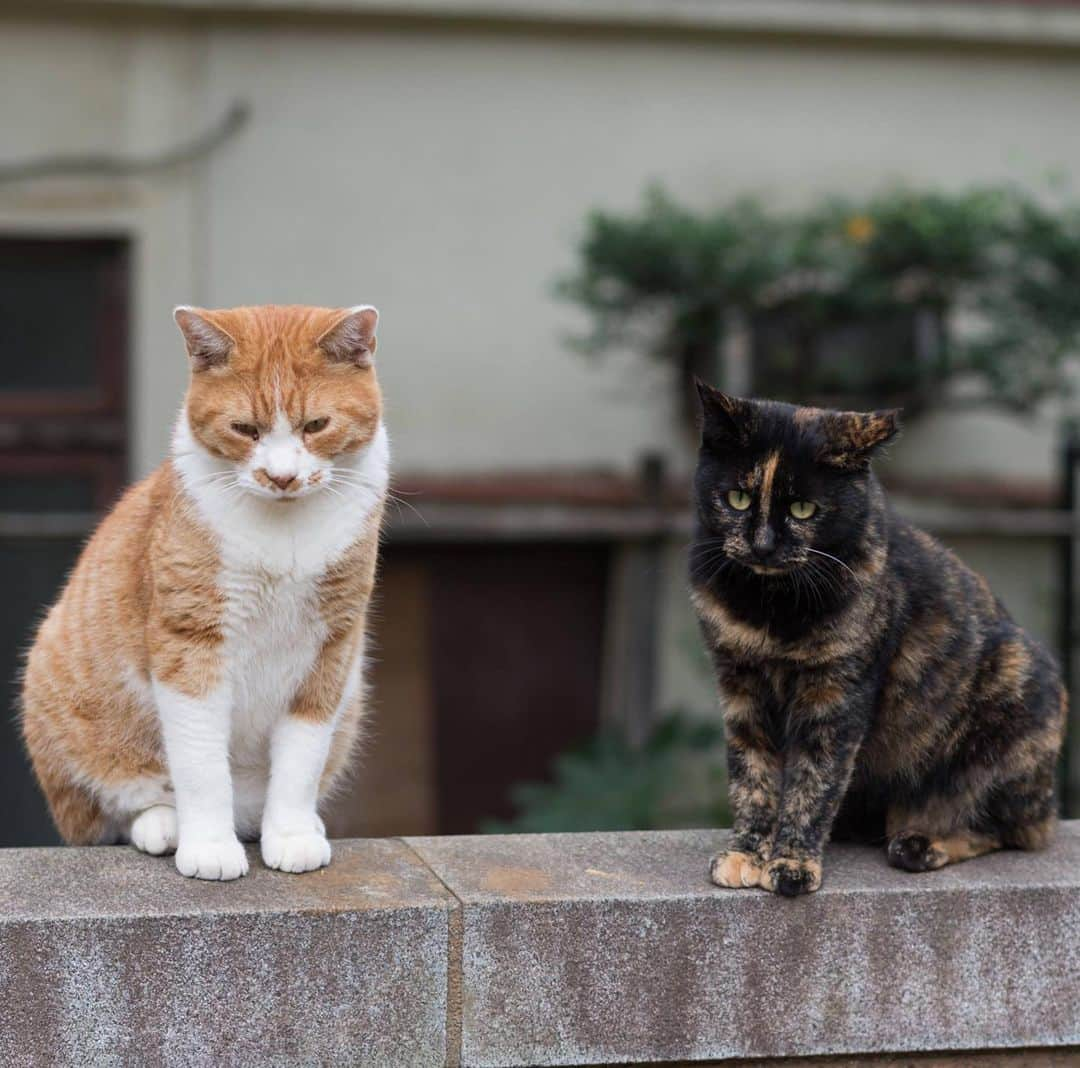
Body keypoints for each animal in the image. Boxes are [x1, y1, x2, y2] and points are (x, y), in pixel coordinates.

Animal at [21, 304, 388, 881]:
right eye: (245, 429)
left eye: (316, 426)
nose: (282, 477)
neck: (284, 529)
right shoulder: (191, 639)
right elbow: (200, 762)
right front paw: (210, 847)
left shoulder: (333, 646)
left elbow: (302, 759)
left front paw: (292, 835)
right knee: (122, 805)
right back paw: (165, 824)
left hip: (350, 696)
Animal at [691, 380, 1062, 894]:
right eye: (738, 499)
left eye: (804, 508)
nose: (762, 545)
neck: (771, 610)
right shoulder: (740, 686)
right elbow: (752, 776)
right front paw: (746, 852)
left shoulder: (836, 694)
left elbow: (814, 781)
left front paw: (792, 864)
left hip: (1015, 692)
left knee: (1014, 829)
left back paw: (921, 841)